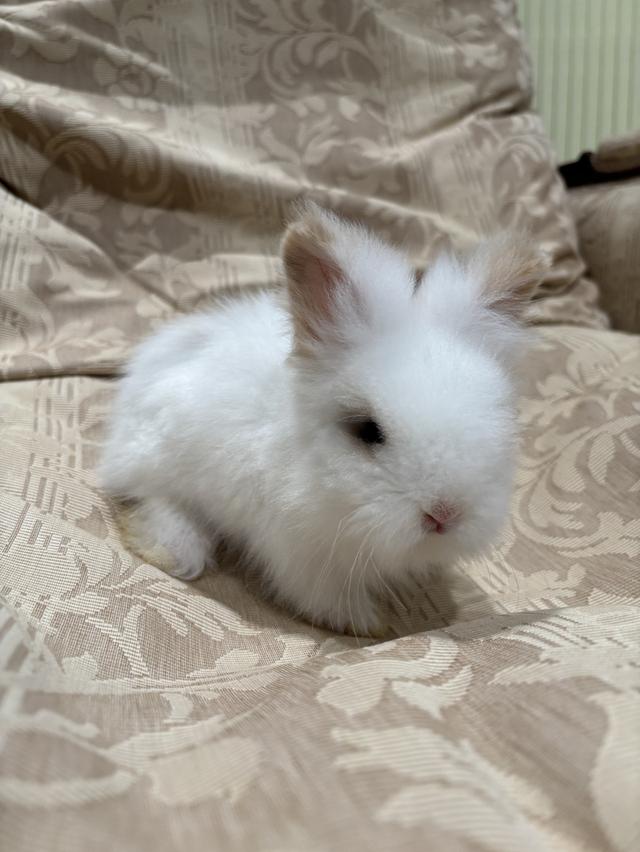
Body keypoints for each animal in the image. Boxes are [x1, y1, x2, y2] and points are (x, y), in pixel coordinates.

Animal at [100, 203, 547, 637]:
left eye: (500, 418)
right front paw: (371, 625)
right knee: (150, 500)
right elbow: (326, 599)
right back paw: (173, 551)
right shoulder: (303, 554)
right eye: (368, 430)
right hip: (161, 464)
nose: (444, 515)